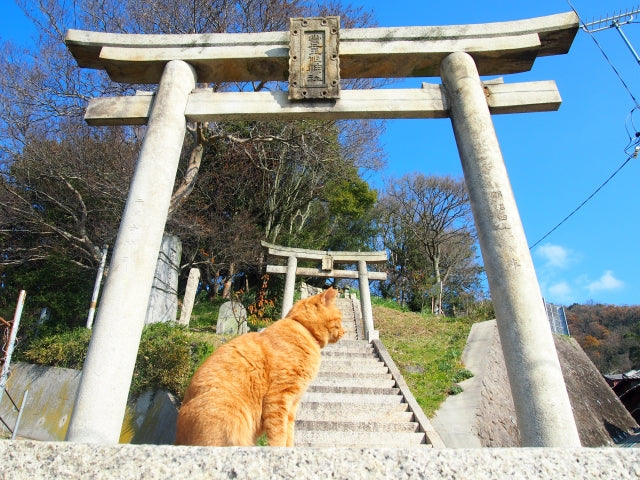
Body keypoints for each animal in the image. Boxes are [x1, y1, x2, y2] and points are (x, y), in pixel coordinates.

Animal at [174, 284, 344, 446]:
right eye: (340, 320)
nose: (345, 331)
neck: (304, 331)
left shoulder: (292, 405)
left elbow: (289, 436)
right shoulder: (279, 397)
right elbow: (279, 434)